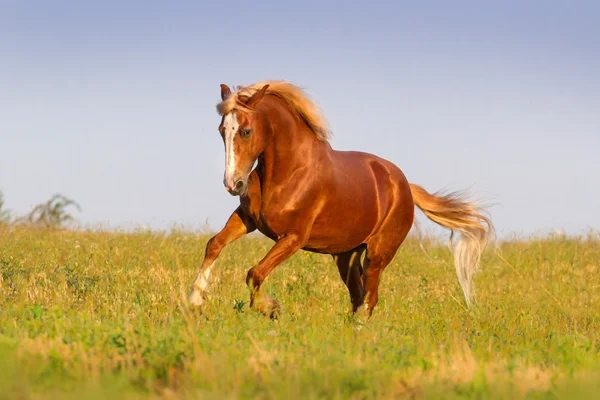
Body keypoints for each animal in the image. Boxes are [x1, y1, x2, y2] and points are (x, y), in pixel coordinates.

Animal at [189, 80, 492, 318]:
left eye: (246, 131)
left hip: (378, 254)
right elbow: (214, 244)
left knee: (369, 298)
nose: (233, 184)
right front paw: (195, 299)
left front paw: (270, 308)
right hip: (346, 255)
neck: (288, 172)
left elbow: (255, 273)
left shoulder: (293, 237)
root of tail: (405, 186)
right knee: (358, 295)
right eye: (222, 130)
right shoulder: (247, 219)